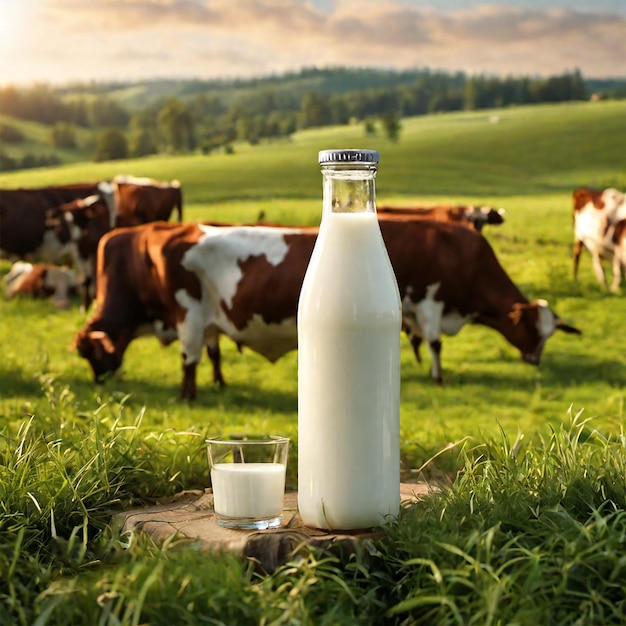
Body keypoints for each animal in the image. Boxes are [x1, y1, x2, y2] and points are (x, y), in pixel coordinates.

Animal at [74, 217, 580, 398]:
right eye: (534, 332)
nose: (535, 360)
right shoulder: (432, 301)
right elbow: (435, 344)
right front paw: (438, 377)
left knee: (201, 354)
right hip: (192, 312)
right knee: (190, 357)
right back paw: (189, 395)